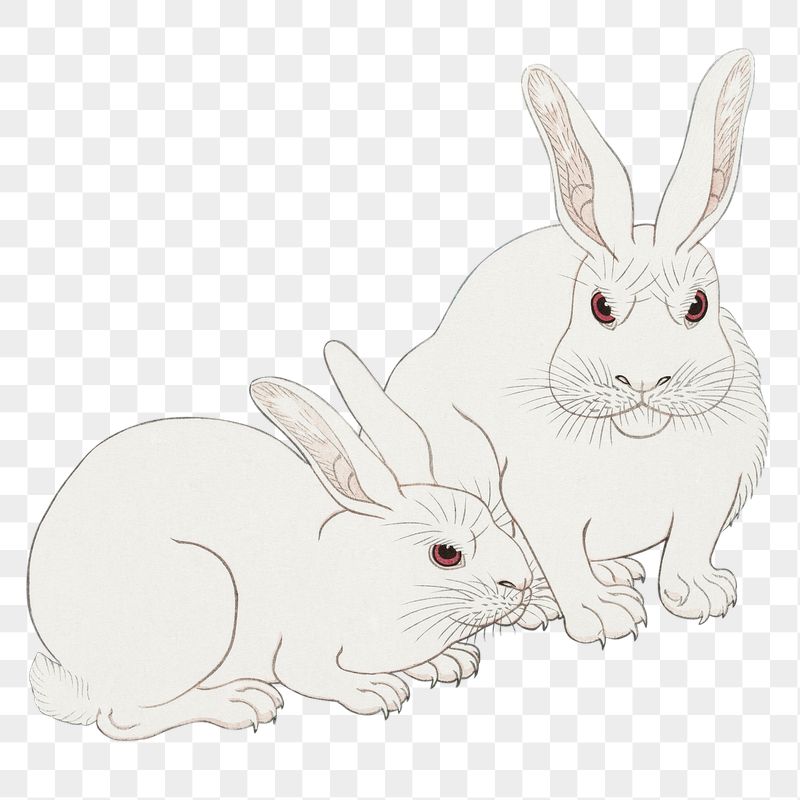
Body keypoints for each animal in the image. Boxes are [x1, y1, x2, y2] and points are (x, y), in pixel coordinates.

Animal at [27, 374, 534, 740]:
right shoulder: (301, 646)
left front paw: (447, 662)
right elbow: (313, 674)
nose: (523, 584)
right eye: (446, 554)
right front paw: (375, 690)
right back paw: (239, 703)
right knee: (122, 717)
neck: (370, 571)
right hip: (201, 599)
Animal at [376, 50, 768, 645]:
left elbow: (689, 546)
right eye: (600, 307)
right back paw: (544, 605)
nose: (644, 380)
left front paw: (702, 597)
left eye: (698, 305)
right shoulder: (542, 503)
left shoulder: (713, 491)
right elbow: (560, 555)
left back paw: (618, 572)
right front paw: (604, 618)